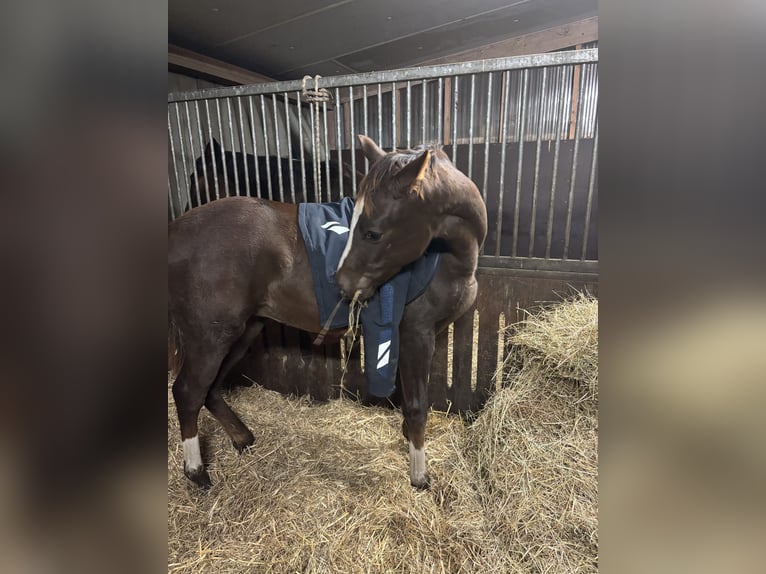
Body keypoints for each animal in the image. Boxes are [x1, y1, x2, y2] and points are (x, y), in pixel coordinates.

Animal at [168, 134, 487, 489]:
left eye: (373, 232)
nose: (342, 283)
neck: (445, 257)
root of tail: (176, 232)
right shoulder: (417, 334)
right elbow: (417, 405)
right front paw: (419, 476)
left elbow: (409, 398)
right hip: (210, 337)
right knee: (187, 392)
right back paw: (197, 472)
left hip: (242, 332)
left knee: (210, 390)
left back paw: (242, 438)